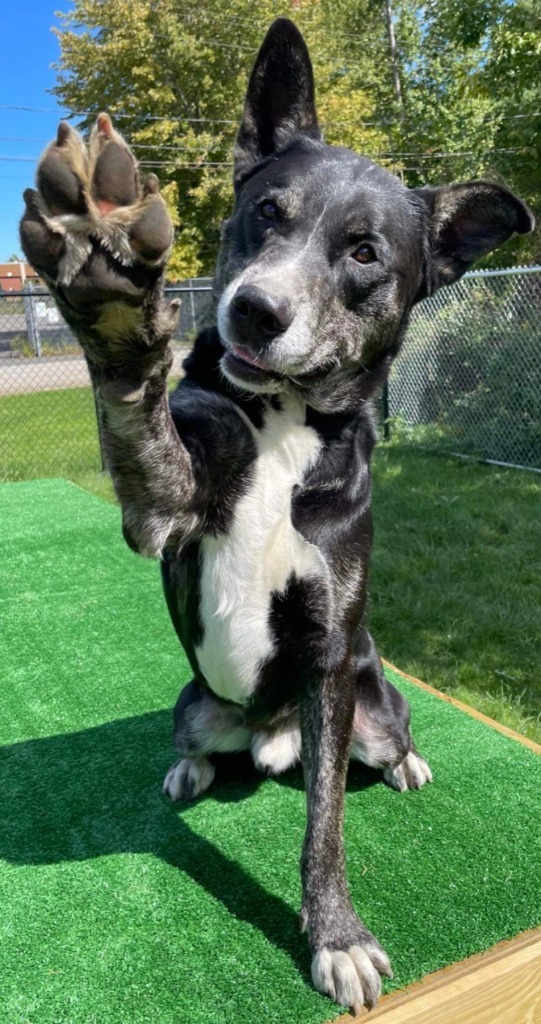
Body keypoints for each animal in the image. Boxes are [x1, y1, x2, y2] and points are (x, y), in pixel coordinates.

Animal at [20, 19, 532, 1019]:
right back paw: (188, 767)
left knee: (380, 740)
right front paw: (106, 282)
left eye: (364, 252)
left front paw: (334, 937)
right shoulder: (158, 509)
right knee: (196, 738)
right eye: (266, 212)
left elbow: (323, 823)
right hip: (196, 704)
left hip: (368, 702)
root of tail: (268, 738)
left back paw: (406, 762)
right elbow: (137, 418)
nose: (253, 311)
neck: (283, 425)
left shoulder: (330, 657)